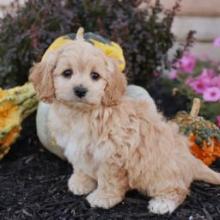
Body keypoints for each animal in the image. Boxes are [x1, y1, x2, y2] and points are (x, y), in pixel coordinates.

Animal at [29, 37, 220, 214]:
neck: (83, 113)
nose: (80, 90)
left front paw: (103, 198)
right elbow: (81, 166)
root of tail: (191, 160)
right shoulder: (78, 147)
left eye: (95, 76)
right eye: (67, 72)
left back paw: (163, 203)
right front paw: (81, 182)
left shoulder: (113, 154)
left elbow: (109, 179)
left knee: (178, 189)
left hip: (158, 171)